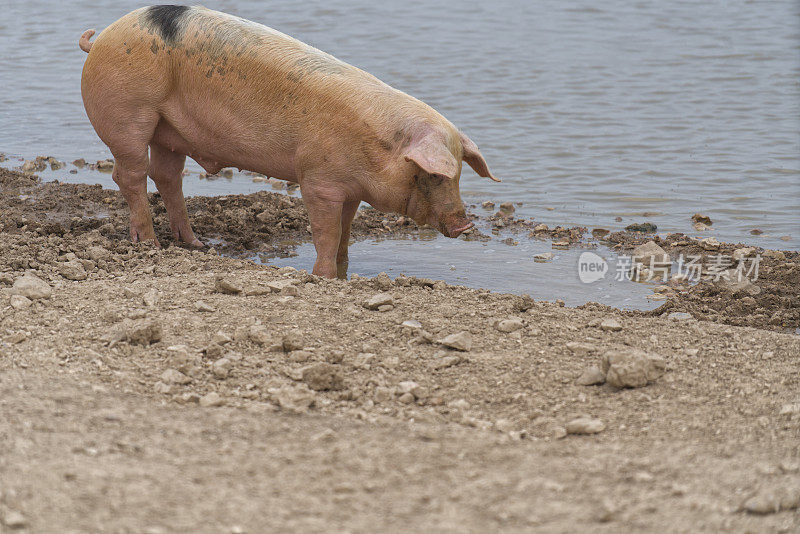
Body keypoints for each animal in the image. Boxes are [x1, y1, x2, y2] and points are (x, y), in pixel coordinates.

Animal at [79, 5, 494, 280]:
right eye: (435, 175)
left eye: (459, 174)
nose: (464, 225)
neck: (379, 151)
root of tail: (104, 36)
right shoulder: (318, 181)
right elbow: (326, 232)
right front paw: (323, 278)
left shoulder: (351, 190)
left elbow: (345, 232)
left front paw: (343, 272)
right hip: (128, 113)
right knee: (129, 174)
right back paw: (149, 243)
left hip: (170, 133)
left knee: (167, 177)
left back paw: (195, 245)